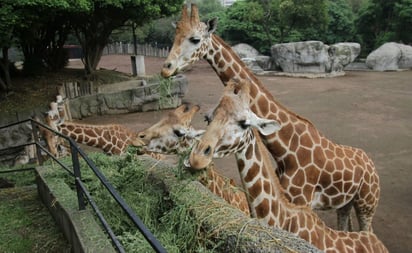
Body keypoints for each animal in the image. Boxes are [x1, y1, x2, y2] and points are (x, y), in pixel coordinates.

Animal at [160, 3, 380, 231]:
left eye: (195, 39)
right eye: (175, 36)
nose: (166, 68)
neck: (285, 148)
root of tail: (371, 164)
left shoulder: (301, 201)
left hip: (367, 203)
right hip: (345, 203)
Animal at [185, 80, 388, 252]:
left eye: (244, 123)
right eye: (207, 118)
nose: (196, 158)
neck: (285, 221)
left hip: (367, 204)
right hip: (347, 203)